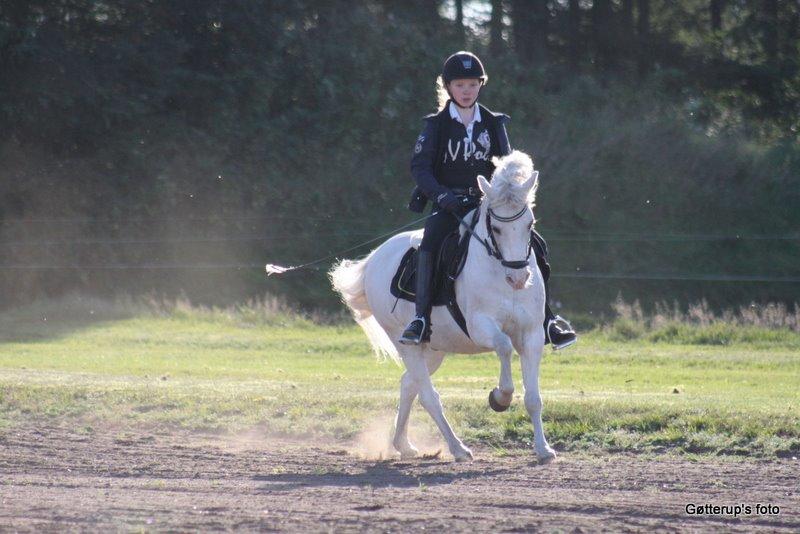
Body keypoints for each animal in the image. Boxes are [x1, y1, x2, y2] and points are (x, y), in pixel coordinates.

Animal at [329, 151, 556, 463]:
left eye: (529, 225)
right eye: (496, 228)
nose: (519, 278)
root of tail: (375, 257)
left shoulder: (532, 334)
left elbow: (534, 398)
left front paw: (544, 449)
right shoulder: (481, 327)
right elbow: (503, 348)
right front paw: (499, 398)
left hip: (434, 349)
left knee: (408, 384)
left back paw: (404, 444)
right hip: (407, 344)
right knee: (428, 395)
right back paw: (458, 448)